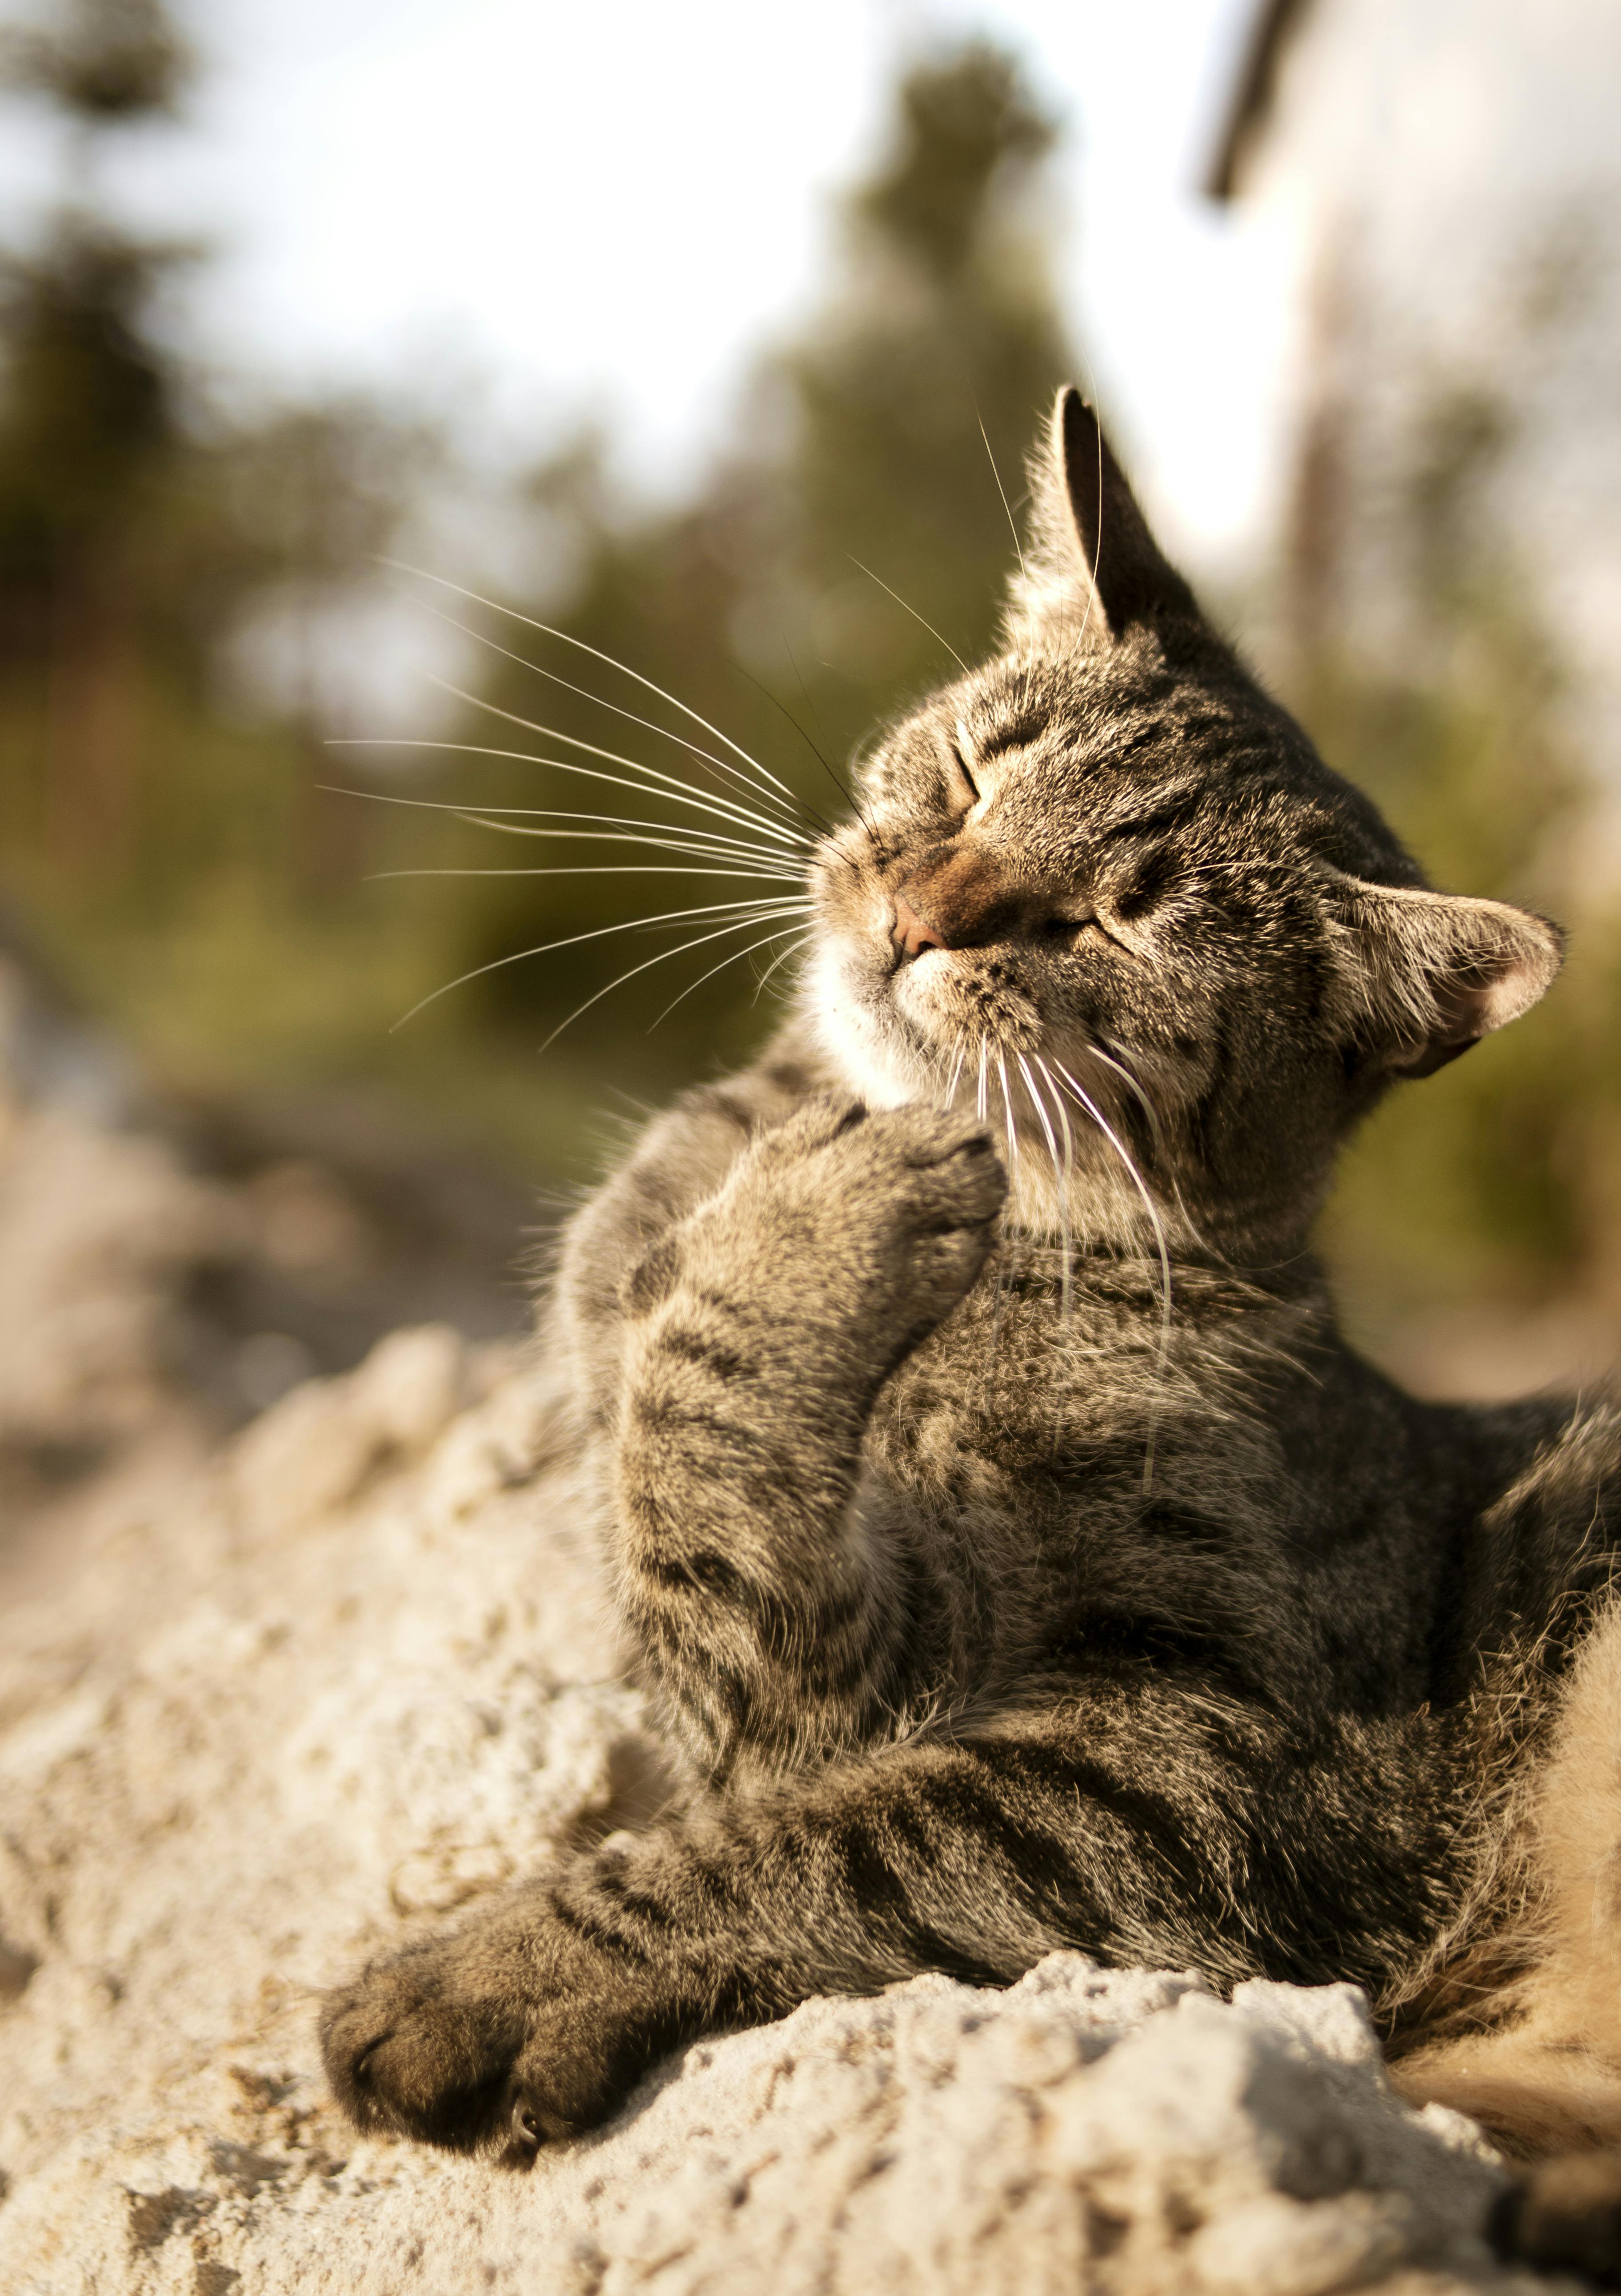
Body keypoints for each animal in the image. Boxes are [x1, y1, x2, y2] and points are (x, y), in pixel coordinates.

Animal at [321, 390, 1616, 2277]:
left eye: (1113, 919)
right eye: (967, 770)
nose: (918, 914)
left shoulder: (1196, 1769)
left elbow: (798, 1822)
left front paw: (484, 1974)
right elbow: (674, 1463)